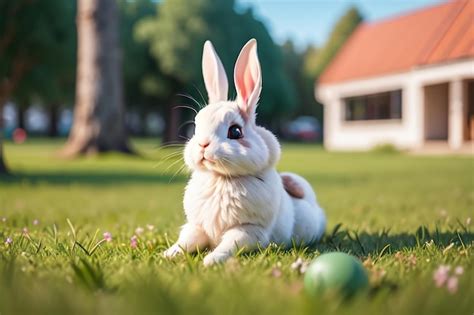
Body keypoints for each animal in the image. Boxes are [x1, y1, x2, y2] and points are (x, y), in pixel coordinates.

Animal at [164, 39, 326, 266]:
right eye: (196, 126)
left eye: (235, 131)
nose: (203, 145)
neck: (221, 178)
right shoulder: (197, 226)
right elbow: (186, 241)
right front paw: (168, 254)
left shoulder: (248, 230)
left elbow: (229, 245)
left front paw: (211, 260)